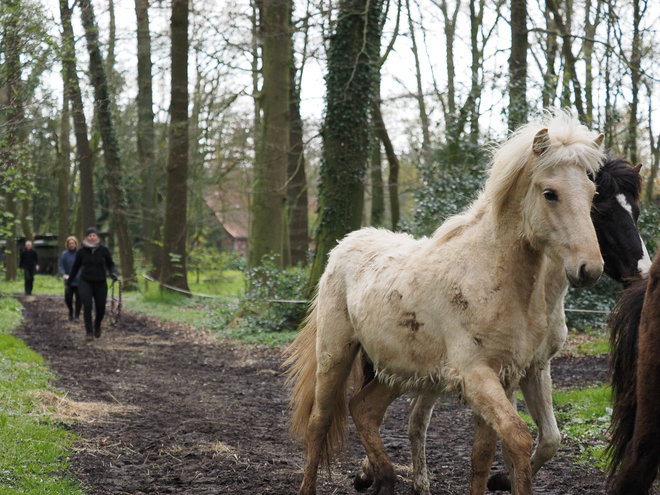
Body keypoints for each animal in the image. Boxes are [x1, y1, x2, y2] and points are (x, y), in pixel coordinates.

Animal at [286, 112, 604, 495]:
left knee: (363, 408)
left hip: (400, 369)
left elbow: (491, 452)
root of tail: (343, 245)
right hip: (335, 354)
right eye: (550, 193)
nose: (590, 269)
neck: (491, 273)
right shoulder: (477, 375)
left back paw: (384, 478)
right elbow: (518, 438)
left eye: (592, 194)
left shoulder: (515, 374)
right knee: (319, 422)